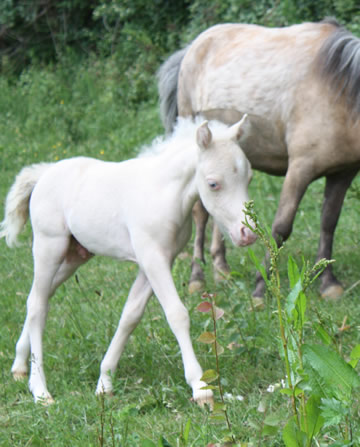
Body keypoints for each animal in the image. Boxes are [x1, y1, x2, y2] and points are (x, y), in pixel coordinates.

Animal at [1, 114, 258, 406]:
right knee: (37, 306)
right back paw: (40, 389)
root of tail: (44, 174)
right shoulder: (153, 258)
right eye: (213, 184)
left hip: (74, 255)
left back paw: (19, 366)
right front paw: (201, 387)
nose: (248, 234)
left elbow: (130, 316)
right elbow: (177, 314)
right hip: (48, 247)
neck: (162, 193)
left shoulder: (154, 263)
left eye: (249, 177)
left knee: (39, 295)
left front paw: (105, 381)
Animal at [159, 20, 360, 300]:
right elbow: (280, 228)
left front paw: (328, 282)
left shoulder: (343, 173)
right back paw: (197, 277)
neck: (340, 93)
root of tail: (193, 46)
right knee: (201, 214)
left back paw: (221, 269)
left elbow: (328, 223)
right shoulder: (300, 169)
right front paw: (261, 288)